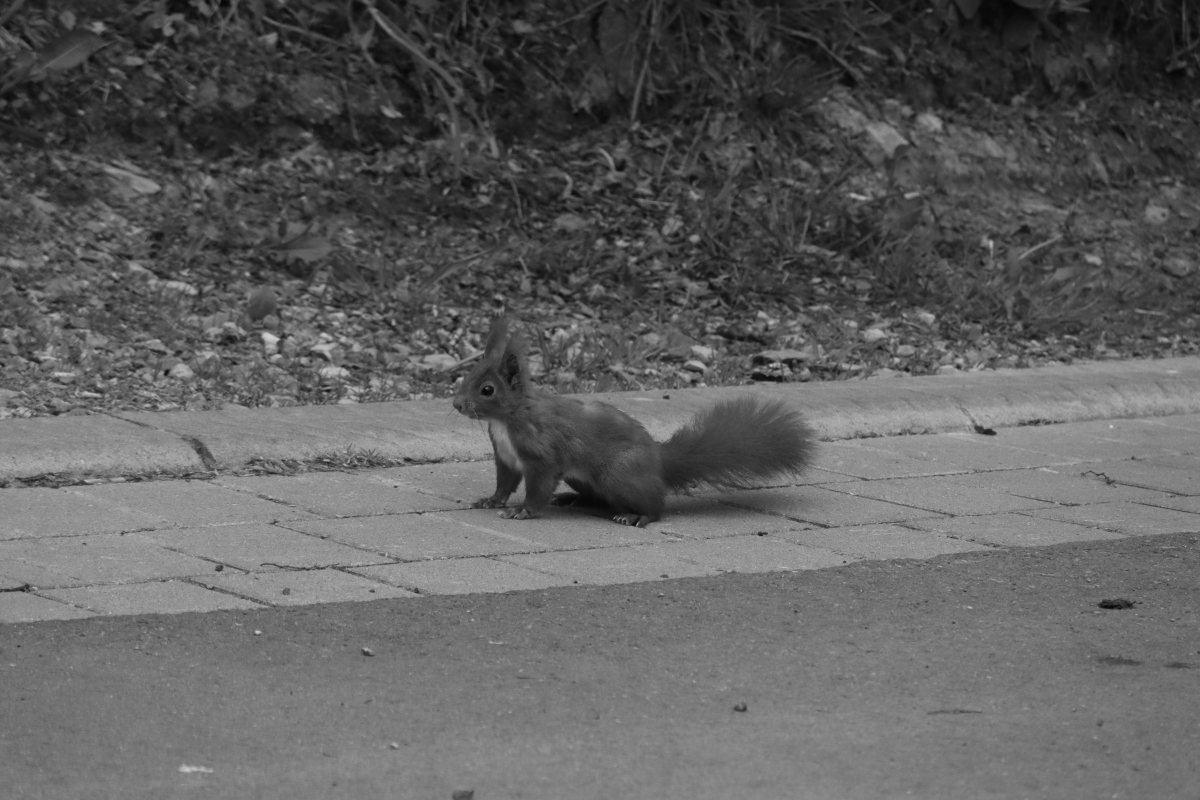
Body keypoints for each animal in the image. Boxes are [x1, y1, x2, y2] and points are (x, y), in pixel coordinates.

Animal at [451, 316, 816, 527]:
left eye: (487, 390)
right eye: (465, 376)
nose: (456, 404)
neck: (508, 418)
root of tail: (659, 462)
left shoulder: (542, 456)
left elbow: (537, 487)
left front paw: (523, 511)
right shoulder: (506, 457)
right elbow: (504, 483)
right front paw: (491, 501)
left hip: (619, 473)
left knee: (656, 507)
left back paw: (636, 515)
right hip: (586, 478)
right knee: (599, 497)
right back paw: (573, 499)